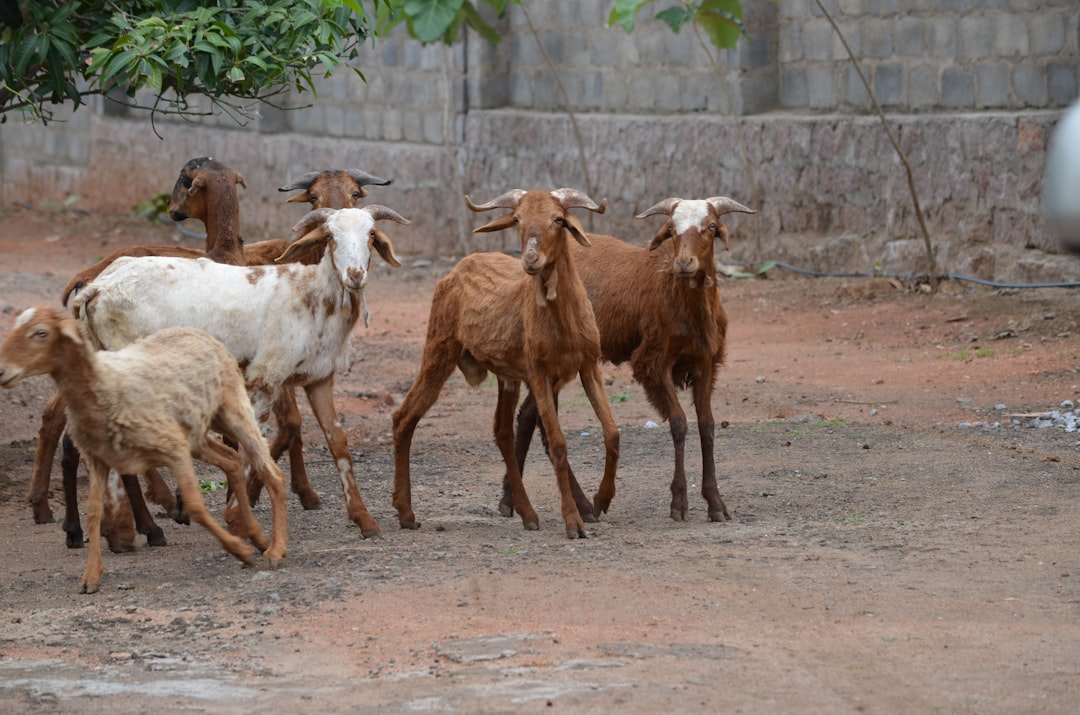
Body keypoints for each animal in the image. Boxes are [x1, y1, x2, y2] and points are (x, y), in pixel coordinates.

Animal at [0, 307, 288, 594]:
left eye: (40, 333)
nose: (2, 371)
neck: (103, 383)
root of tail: (194, 330)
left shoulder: (173, 448)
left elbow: (195, 506)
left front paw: (238, 550)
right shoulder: (99, 458)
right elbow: (93, 512)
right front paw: (92, 575)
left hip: (232, 409)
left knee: (270, 472)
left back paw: (275, 549)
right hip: (196, 432)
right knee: (231, 460)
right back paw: (256, 535)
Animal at [32, 159, 390, 546]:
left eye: (370, 231)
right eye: (316, 203)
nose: (355, 274)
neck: (311, 291)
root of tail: (94, 286)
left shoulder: (314, 377)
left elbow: (332, 442)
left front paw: (361, 518)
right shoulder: (266, 375)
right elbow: (259, 438)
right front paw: (237, 510)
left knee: (70, 432)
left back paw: (82, 525)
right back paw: (135, 526)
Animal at [391, 189, 620, 539]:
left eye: (558, 219)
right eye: (518, 219)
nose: (531, 260)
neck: (563, 323)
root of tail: (458, 268)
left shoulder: (588, 367)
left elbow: (611, 432)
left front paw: (602, 499)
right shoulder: (539, 374)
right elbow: (558, 443)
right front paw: (574, 522)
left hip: (506, 375)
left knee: (501, 432)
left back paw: (527, 513)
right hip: (438, 349)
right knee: (404, 417)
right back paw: (405, 512)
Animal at [507, 196, 755, 523]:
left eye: (711, 226)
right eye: (671, 228)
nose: (684, 264)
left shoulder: (706, 364)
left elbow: (707, 425)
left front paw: (715, 503)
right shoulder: (653, 362)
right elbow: (679, 423)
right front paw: (679, 503)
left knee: (526, 417)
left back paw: (509, 501)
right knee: (540, 427)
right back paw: (582, 505)